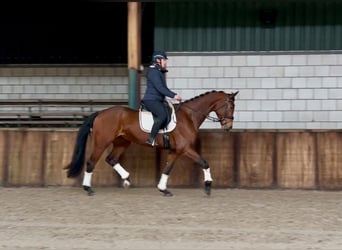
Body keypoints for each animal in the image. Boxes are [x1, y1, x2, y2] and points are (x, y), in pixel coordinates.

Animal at [65, 91, 239, 196]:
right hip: (102, 143)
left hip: (123, 142)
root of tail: (100, 113)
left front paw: (163, 189)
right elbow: (204, 162)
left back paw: (127, 179)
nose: (228, 126)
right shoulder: (185, 149)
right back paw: (88, 188)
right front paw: (208, 186)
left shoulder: (175, 150)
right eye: (230, 106)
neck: (189, 116)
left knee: (111, 159)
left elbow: (167, 169)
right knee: (91, 162)